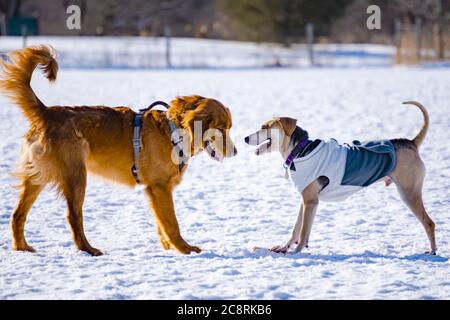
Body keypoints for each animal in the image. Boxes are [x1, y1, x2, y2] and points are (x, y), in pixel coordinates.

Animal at [0, 45, 236, 255]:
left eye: (229, 127)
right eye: (221, 129)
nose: (235, 153)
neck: (174, 131)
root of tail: (47, 113)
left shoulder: (155, 190)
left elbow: (161, 222)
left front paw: (168, 246)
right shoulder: (159, 187)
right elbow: (171, 223)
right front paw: (184, 249)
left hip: (37, 177)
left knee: (18, 214)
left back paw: (22, 247)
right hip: (76, 175)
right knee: (73, 216)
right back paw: (88, 249)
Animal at [244, 102, 438, 255]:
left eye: (264, 127)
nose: (245, 138)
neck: (299, 150)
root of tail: (411, 143)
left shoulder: (310, 201)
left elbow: (303, 232)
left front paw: (296, 253)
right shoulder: (306, 200)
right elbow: (297, 229)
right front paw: (284, 248)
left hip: (409, 193)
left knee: (429, 223)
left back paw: (433, 251)